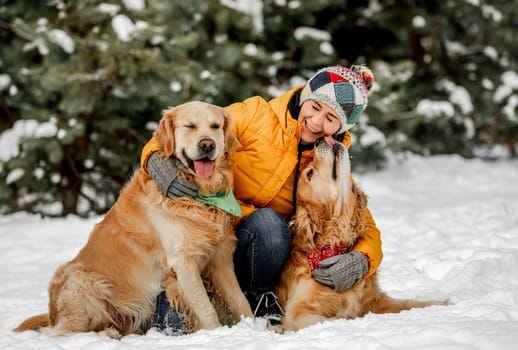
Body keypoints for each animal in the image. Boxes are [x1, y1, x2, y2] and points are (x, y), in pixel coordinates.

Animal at [14, 100, 254, 336]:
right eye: (190, 126)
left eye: (215, 126)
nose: (207, 145)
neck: (199, 195)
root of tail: (52, 314)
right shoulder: (184, 262)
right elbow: (206, 308)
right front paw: (216, 334)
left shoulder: (220, 257)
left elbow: (240, 300)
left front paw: (254, 328)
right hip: (81, 280)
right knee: (64, 332)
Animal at [276, 135, 446, 330]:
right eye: (309, 174)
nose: (319, 140)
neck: (333, 246)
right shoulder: (296, 312)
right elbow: (328, 319)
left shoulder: (376, 300)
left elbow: (409, 303)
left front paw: (442, 303)